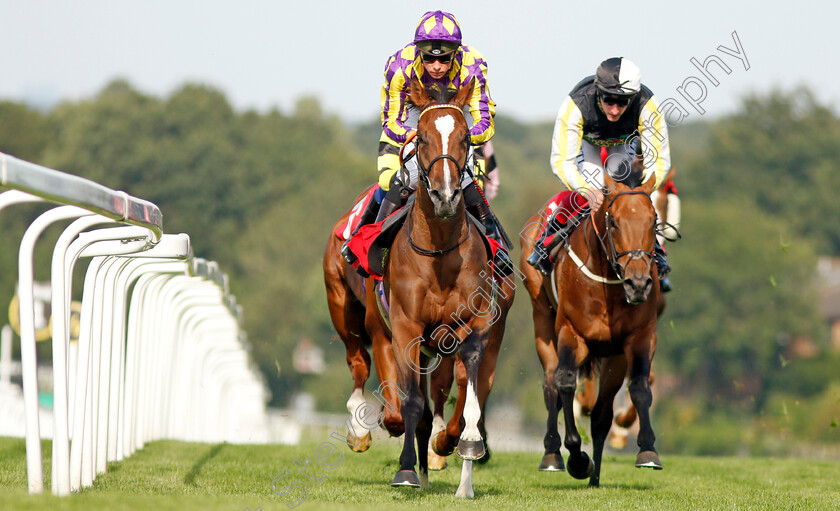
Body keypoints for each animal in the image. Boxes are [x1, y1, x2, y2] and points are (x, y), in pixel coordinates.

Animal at [520, 165, 664, 488]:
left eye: (653, 221)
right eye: (614, 222)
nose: (638, 283)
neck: (608, 282)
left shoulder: (638, 337)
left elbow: (638, 387)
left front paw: (648, 450)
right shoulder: (571, 332)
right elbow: (564, 382)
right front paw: (576, 457)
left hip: (613, 357)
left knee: (601, 414)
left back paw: (595, 478)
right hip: (541, 317)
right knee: (551, 383)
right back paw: (552, 455)